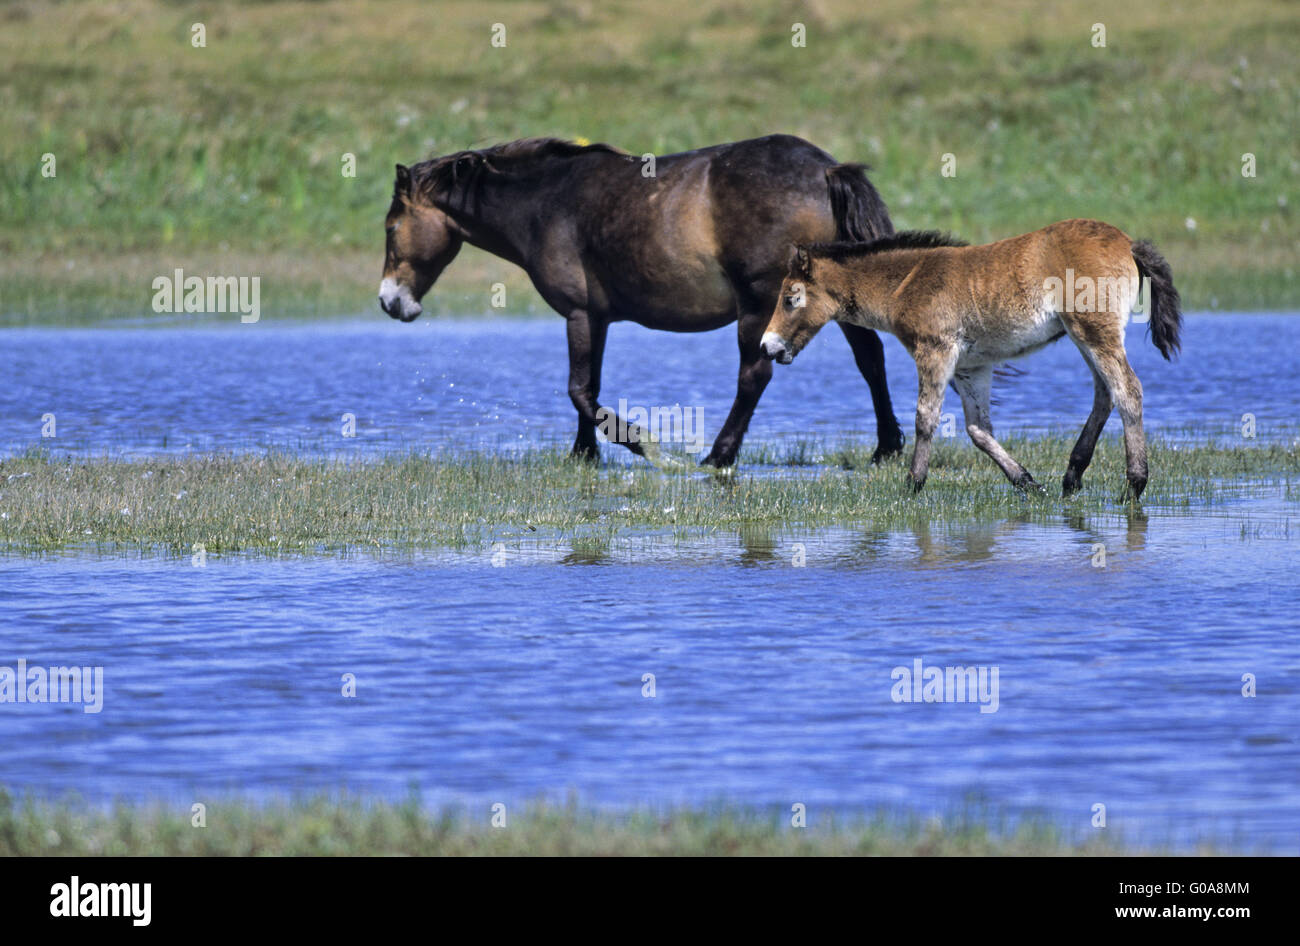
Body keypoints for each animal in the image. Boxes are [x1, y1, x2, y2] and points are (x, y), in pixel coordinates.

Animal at [377, 135, 904, 467]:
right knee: (871, 359)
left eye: (390, 226)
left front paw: (642, 444)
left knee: (754, 376)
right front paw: (583, 455)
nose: (389, 301)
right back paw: (886, 448)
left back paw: (718, 455)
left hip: (761, 305)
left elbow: (579, 390)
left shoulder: (578, 313)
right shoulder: (599, 319)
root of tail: (825, 169)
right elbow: (588, 386)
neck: (546, 202)